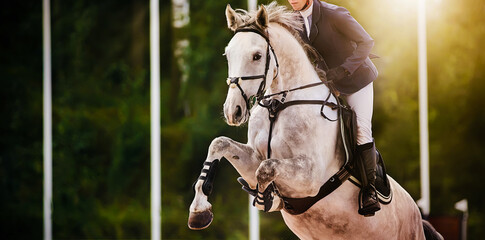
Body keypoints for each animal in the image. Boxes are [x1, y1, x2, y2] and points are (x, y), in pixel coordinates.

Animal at [187, 2, 440, 239]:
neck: (279, 104)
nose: (233, 111)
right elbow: (220, 144)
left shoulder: (310, 177)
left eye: (257, 56)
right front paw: (199, 211)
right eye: (228, 54)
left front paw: (267, 199)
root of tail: (418, 217)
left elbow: (267, 169)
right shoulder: (254, 158)